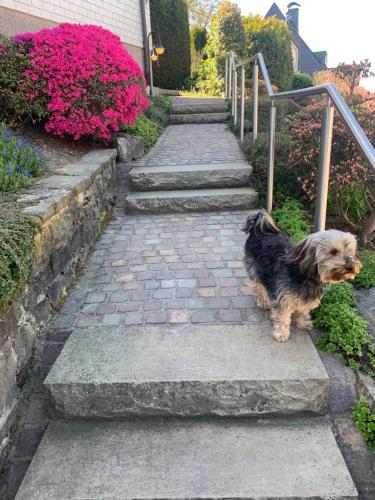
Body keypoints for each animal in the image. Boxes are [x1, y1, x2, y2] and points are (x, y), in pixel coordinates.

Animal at [242, 209, 362, 342]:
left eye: (351, 252)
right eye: (334, 252)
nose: (351, 267)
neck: (305, 276)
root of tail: (258, 230)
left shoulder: (306, 299)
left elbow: (302, 311)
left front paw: (302, 323)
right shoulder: (283, 298)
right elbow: (282, 316)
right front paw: (281, 333)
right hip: (255, 269)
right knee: (258, 286)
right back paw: (264, 302)